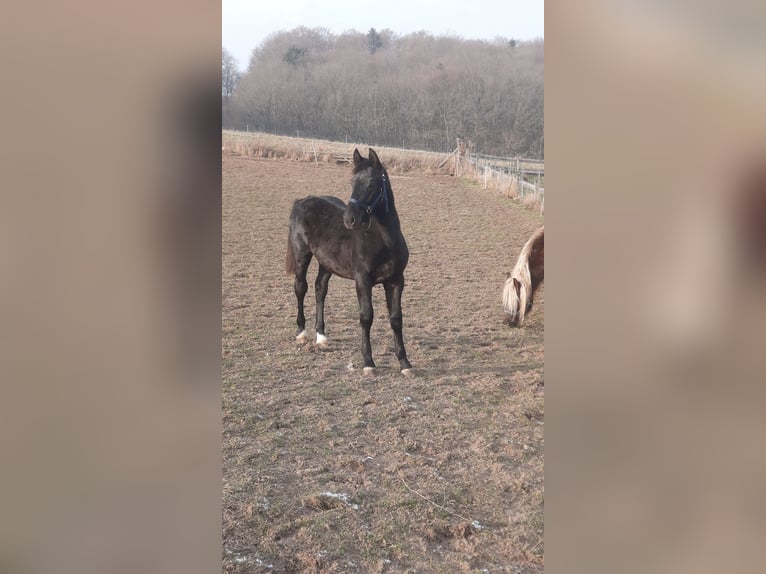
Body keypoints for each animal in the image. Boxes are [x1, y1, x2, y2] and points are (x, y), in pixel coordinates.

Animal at [286, 148, 412, 375]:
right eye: (352, 182)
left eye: (371, 183)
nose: (349, 219)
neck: (384, 240)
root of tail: (302, 200)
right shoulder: (362, 280)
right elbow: (366, 316)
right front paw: (368, 362)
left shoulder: (396, 280)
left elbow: (396, 318)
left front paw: (404, 363)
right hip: (302, 255)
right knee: (301, 287)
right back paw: (301, 333)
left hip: (326, 263)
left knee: (320, 289)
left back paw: (321, 336)